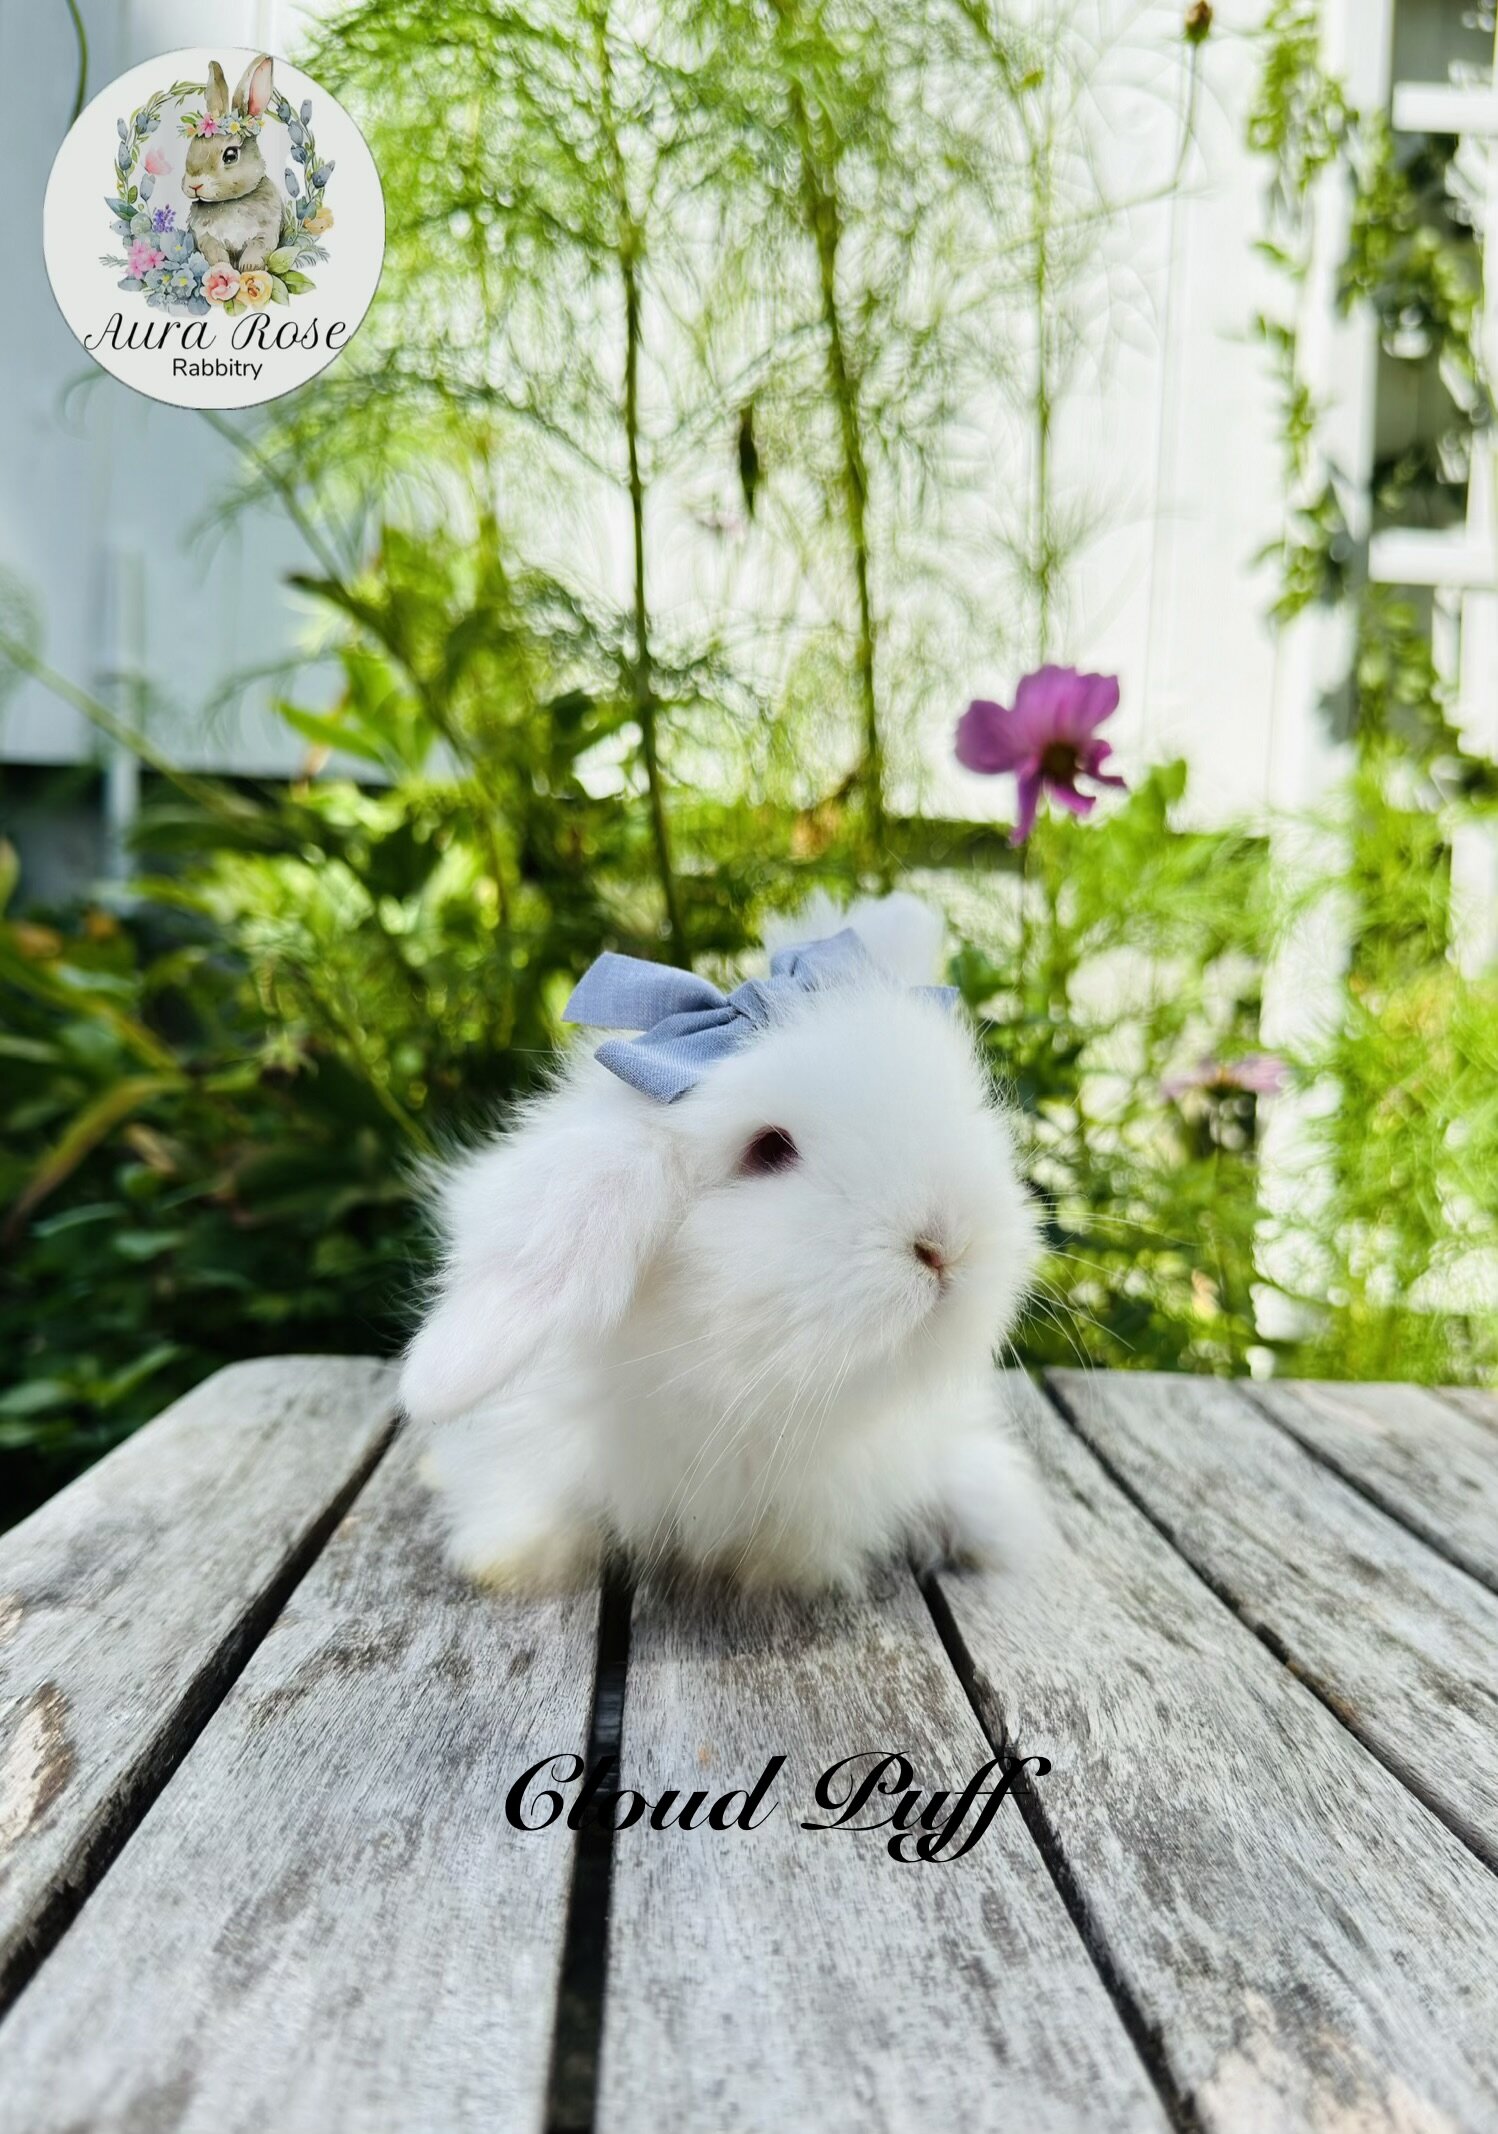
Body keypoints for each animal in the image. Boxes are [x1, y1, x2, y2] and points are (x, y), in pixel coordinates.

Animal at [186, 57, 283, 273]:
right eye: (192, 147)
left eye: (230, 155)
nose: (193, 185)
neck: (230, 202)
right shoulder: (206, 237)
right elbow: (216, 255)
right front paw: (223, 270)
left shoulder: (266, 233)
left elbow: (257, 249)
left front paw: (249, 268)